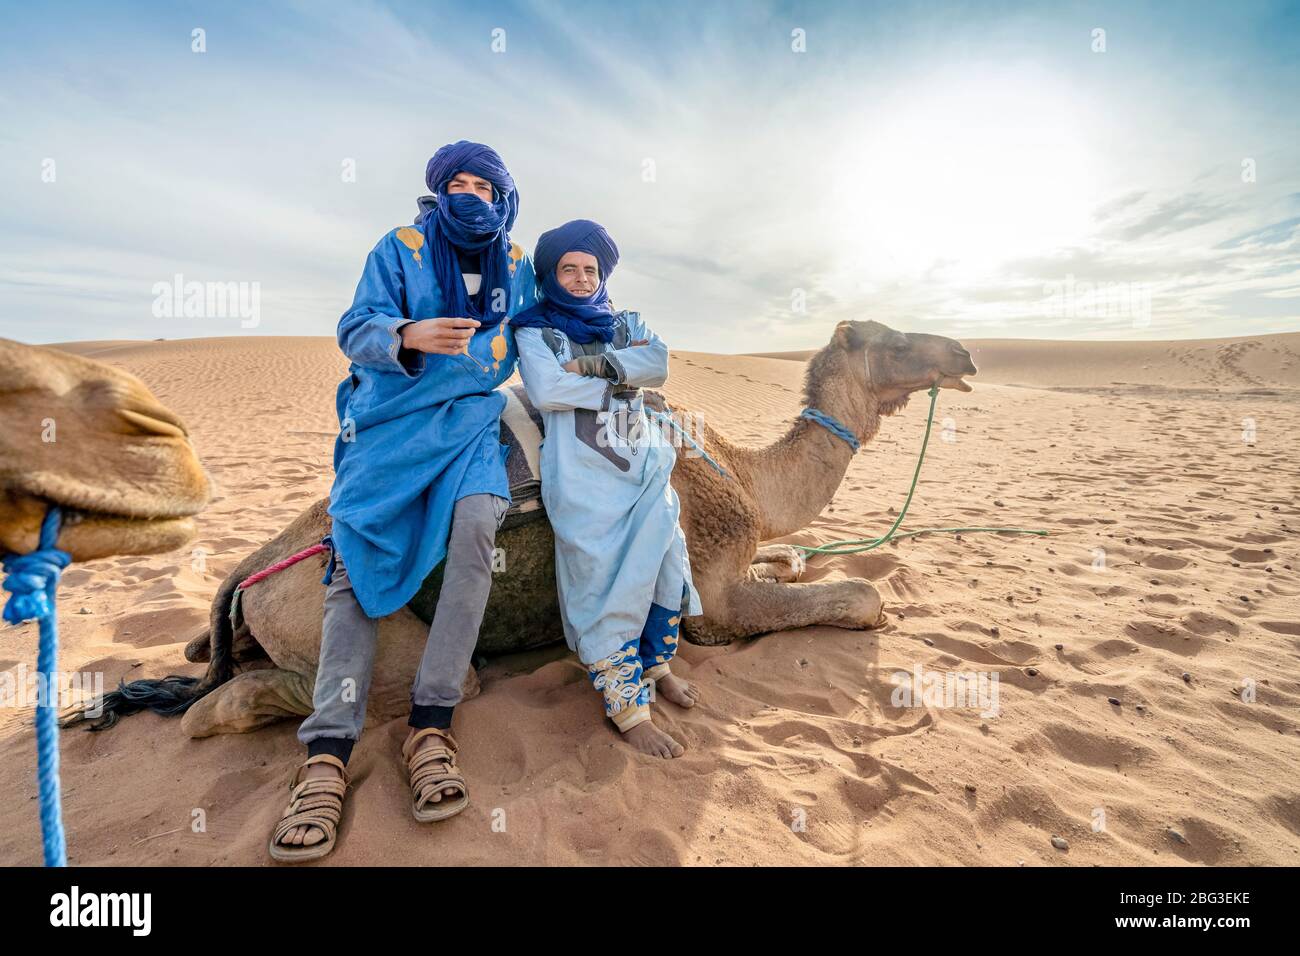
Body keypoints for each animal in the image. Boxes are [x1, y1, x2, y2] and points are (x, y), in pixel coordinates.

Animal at [81, 320, 975, 737]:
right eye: (894, 338)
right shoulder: (712, 595)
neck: (746, 475)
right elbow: (858, 598)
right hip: (331, 611)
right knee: (237, 707)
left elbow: (793, 559)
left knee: (209, 657)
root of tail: (253, 576)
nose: (964, 353)